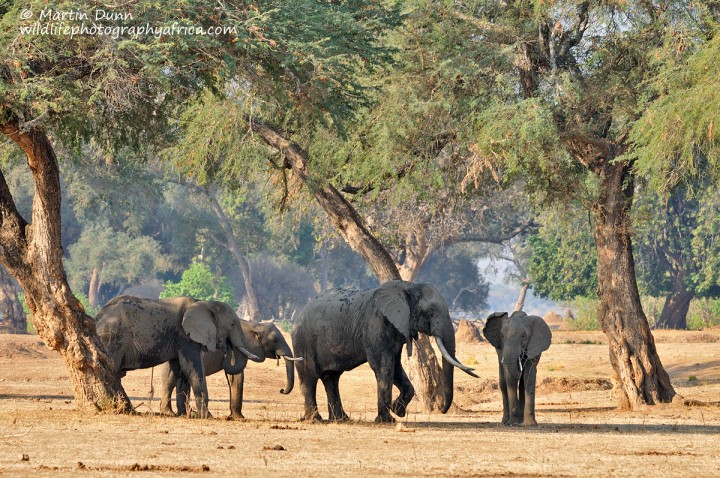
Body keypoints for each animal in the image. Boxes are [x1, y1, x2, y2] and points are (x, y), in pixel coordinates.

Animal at [159, 322, 302, 418]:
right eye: (275, 340)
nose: (281, 390)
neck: (254, 325)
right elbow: (237, 376)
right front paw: (239, 418)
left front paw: (234, 417)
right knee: (170, 380)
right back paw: (172, 413)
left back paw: (185, 413)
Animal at [292, 278, 478, 424]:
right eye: (430, 313)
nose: (441, 408)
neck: (408, 287)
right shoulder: (376, 325)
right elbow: (383, 366)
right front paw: (387, 420)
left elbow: (395, 367)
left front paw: (397, 411)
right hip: (304, 341)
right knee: (309, 378)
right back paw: (315, 419)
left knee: (331, 378)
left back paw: (341, 419)